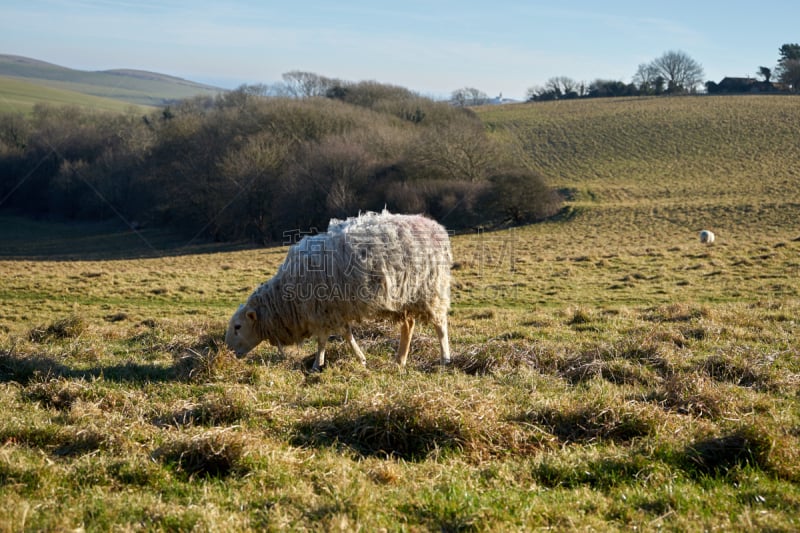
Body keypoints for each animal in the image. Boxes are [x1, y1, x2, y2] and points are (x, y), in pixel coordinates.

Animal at [225, 209, 450, 370]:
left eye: (238, 326)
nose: (227, 352)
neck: (285, 299)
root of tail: (434, 226)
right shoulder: (333, 310)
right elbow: (344, 335)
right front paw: (360, 359)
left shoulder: (322, 310)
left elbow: (324, 339)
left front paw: (317, 365)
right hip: (406, 295)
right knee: (409, 325)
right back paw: (399, 361)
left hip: (431, 289)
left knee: (440, 325)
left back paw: (445, 358)